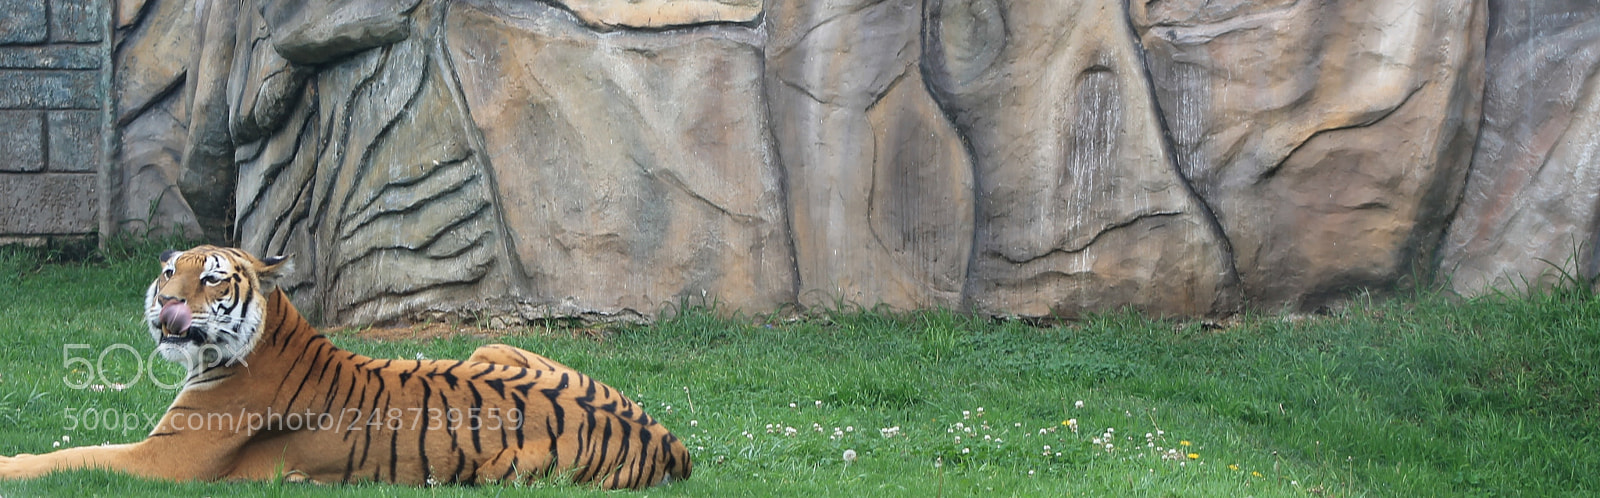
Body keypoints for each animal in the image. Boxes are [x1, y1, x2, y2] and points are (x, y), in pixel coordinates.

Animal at [0, 245, 691, 489]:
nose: (164, 301)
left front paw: (12, 466)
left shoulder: (166, 459)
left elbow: (72, 456)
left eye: (211, 278)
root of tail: (670, 443)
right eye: (171, 270)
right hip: (495, 350)